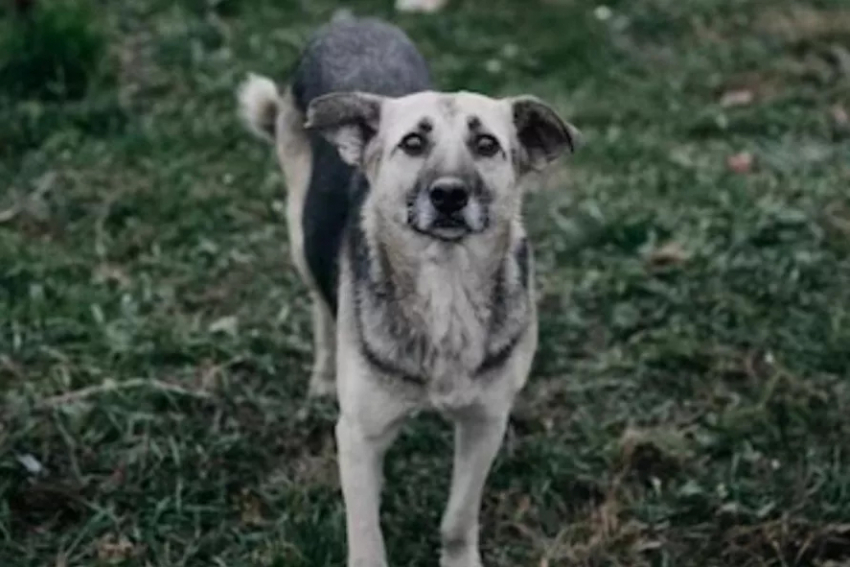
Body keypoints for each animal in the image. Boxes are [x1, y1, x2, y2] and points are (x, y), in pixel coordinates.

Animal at [237, 13, 576, 567]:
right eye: (413, 143)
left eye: (487, 145)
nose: (449, 195)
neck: (445, 284)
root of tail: (352, 21)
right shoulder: (358, 436)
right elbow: (366, 535)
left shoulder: (485, 422)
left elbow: (458, 517)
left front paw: (460, 560)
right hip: (298, 233)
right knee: (320, 307)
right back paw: (322, 377)